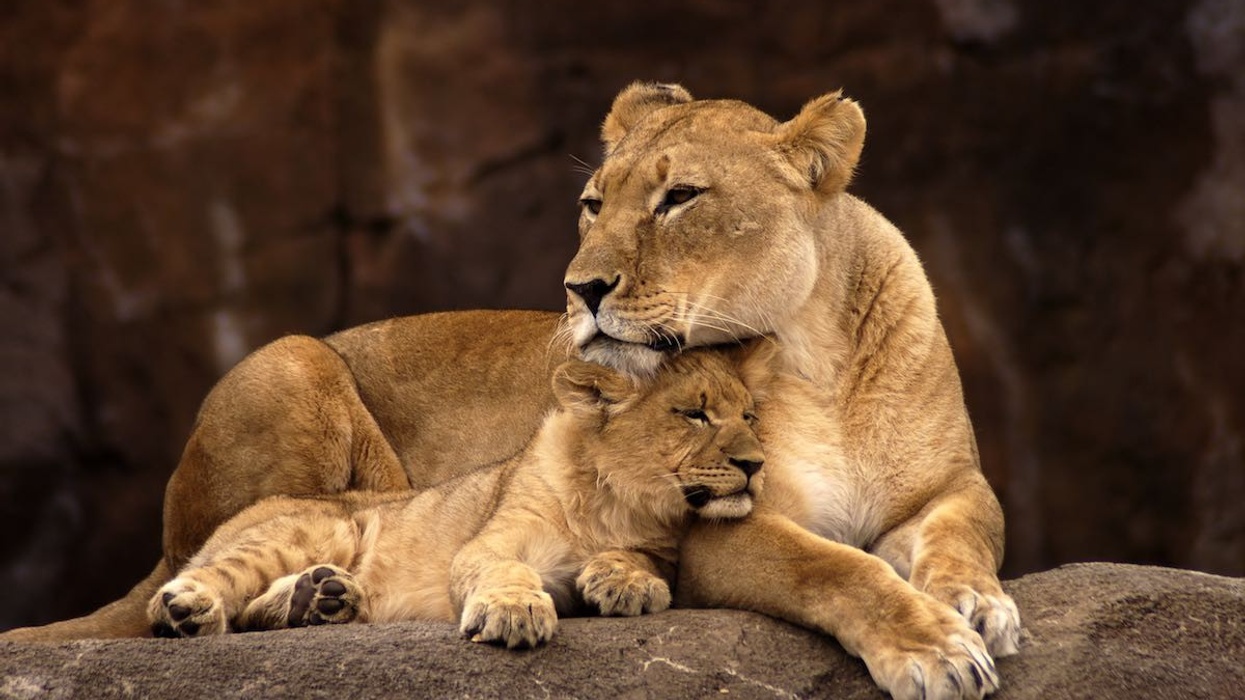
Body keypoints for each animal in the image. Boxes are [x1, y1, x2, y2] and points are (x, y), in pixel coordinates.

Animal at [147, 346, 769, 648]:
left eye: (749, 416)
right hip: (317, 527)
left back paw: (321, 599)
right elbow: (503, 570)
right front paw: (514, 613)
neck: (618, 503)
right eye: (694, 414)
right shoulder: (488, 543)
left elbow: (644, 559)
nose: (756, 464)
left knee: (254, 609)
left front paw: (624, 580)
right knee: (210, 584)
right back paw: (190, 609)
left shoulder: (662, 548)